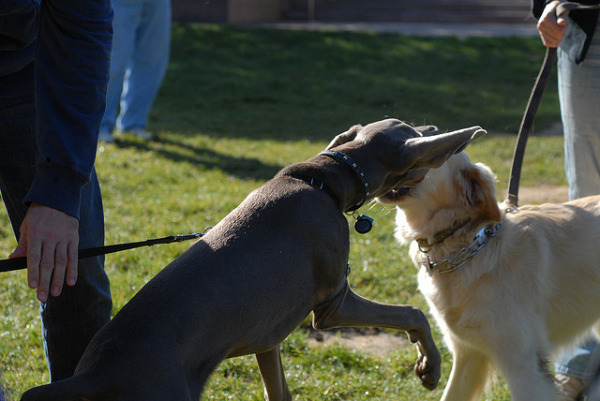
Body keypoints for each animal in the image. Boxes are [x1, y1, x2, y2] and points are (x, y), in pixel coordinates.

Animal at [21, 119, 486, 400]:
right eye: (411, 129)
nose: (435, 127)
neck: (326, 179)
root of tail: (96, 372)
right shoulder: (332, 304)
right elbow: (412, 313)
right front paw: (429, 367)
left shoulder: (268, 337)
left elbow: (278, 388)